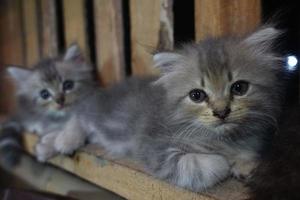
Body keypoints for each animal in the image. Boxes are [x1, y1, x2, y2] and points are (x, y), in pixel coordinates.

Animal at [39, 26, 282, 191]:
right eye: (197, 95)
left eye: (239, 87)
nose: (222, 112)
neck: (224, 138)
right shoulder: (155, 149)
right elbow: (207, 164)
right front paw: (224, 161)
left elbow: (249, 152)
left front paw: (244, 163)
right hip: (98, 111)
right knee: (79, 116)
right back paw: (62, 142)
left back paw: (48, 144)